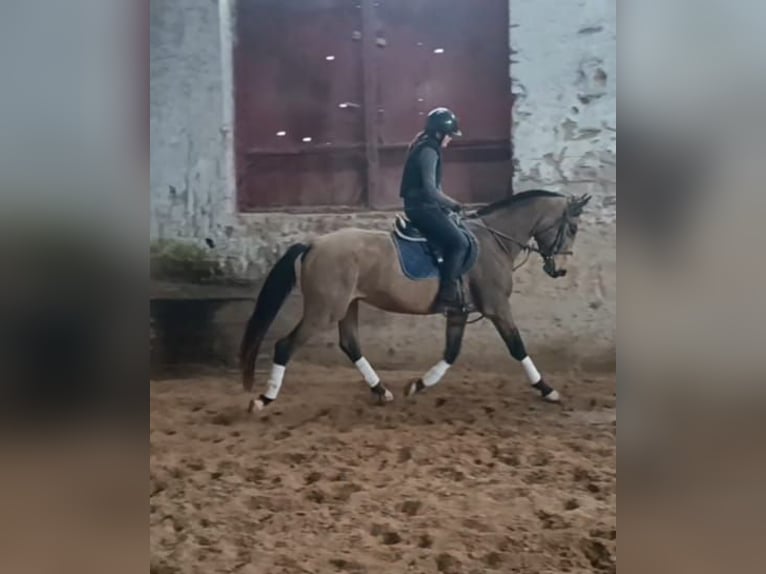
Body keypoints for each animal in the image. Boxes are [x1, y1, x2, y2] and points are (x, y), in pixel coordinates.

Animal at [239, 189, 592, 411]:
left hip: (347, 306)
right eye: (573, 227)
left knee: (350, 344)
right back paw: (264, 399)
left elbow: (451, 353)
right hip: (324, 310)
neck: (495, 240)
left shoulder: (459, 313)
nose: (560, 270)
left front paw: (418, 385)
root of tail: (313, 244)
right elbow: (517, 347)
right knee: (285, 346)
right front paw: (548, 390)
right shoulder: (497, 308)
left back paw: (382, 391)